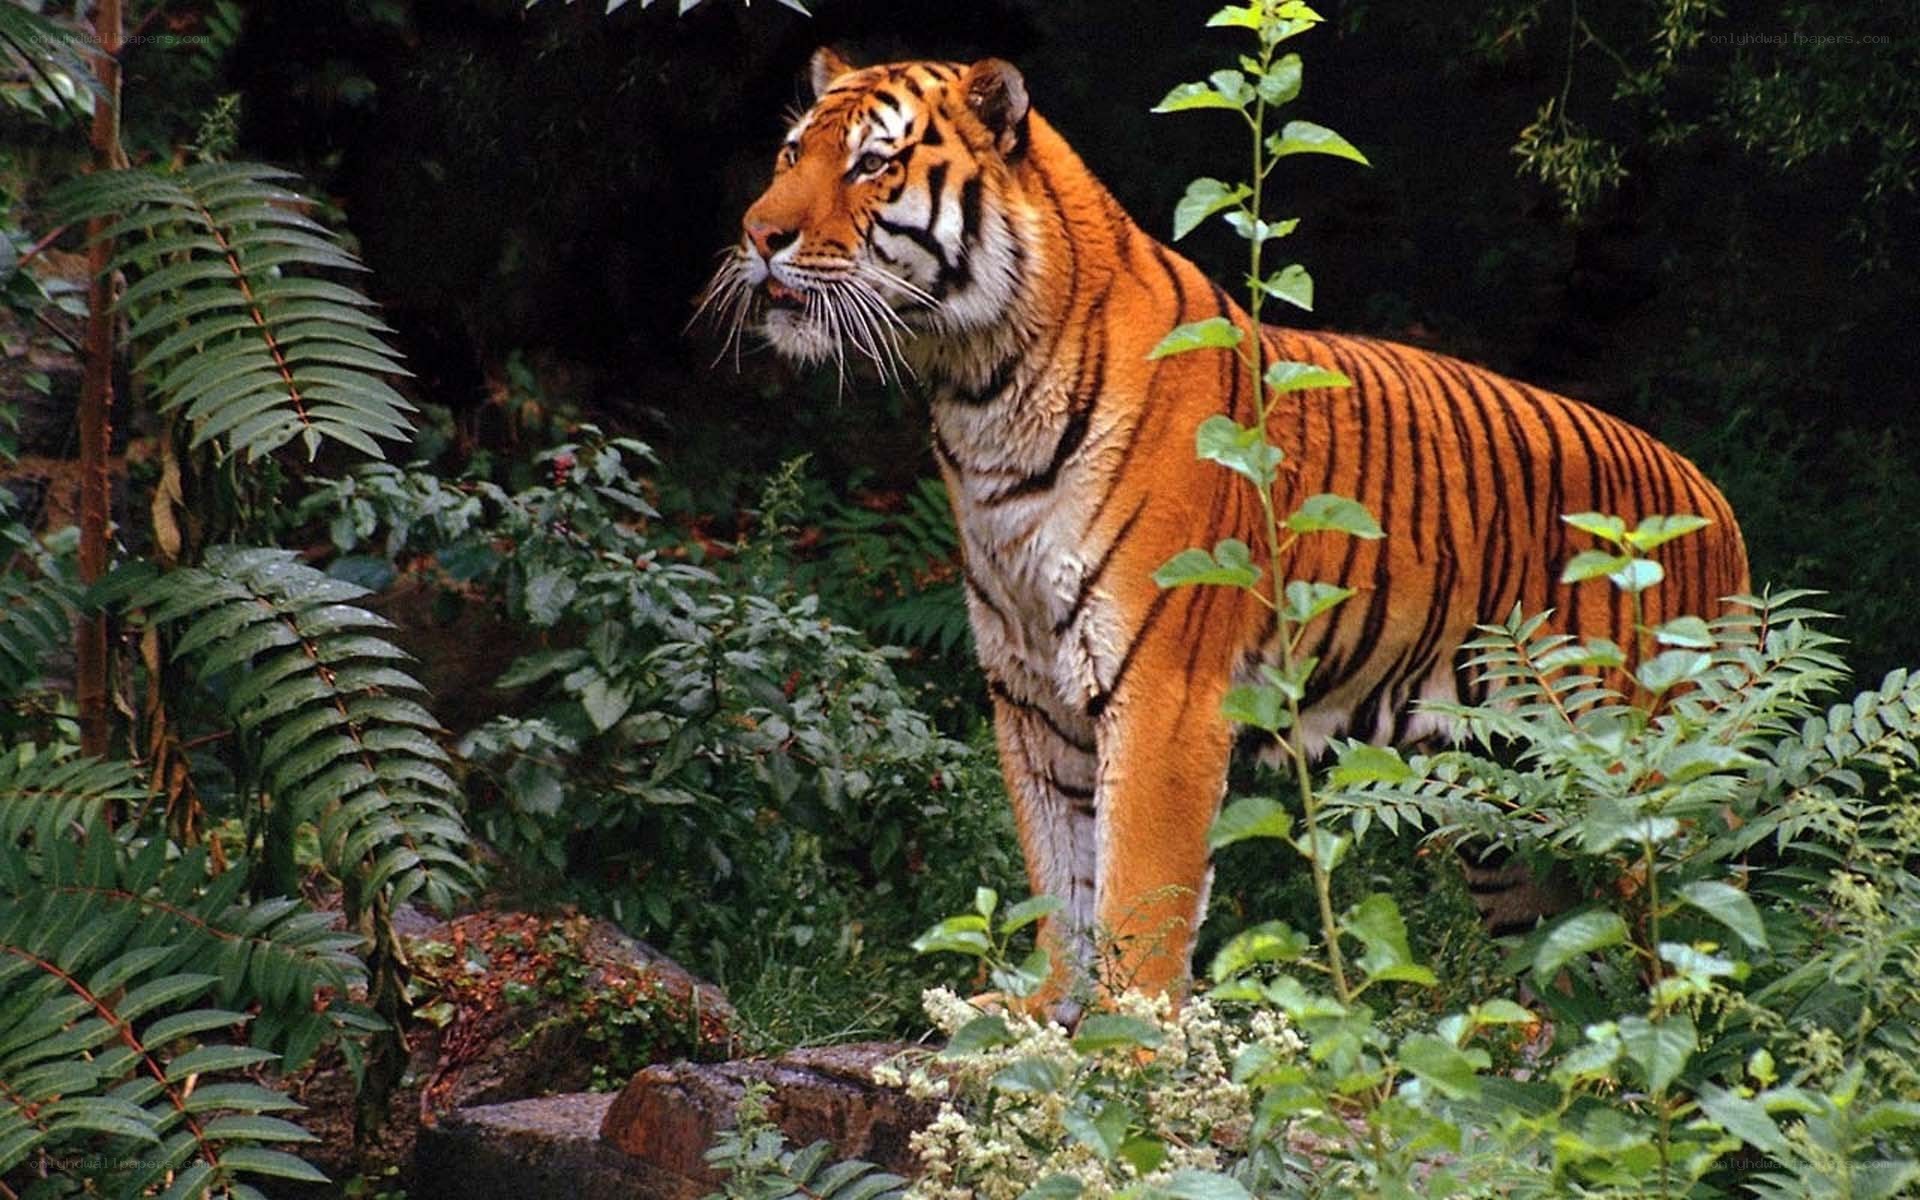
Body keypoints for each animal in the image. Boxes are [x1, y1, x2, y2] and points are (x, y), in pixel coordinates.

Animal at [703, 48, 1750, 1020]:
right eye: (791, 153)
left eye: (872, 164)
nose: (756, 234)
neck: (980, 392)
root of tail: (1717, 503)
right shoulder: (1031, 696)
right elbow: (1059, 877)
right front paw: (1044, 1016)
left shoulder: (1164, 691)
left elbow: (1138, 891)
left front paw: (1130, 1044)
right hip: (1506, 809)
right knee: (1565, 963)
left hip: (1640, 785)